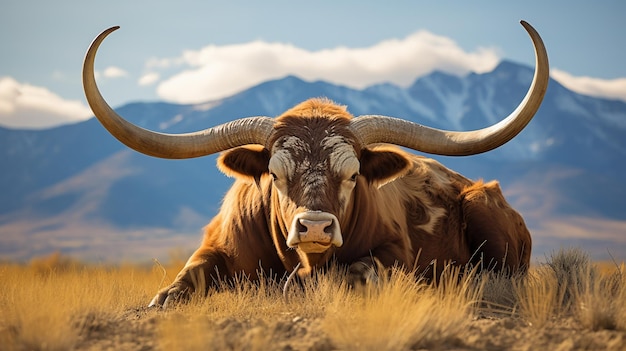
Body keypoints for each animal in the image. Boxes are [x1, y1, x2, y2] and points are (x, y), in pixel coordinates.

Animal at [80, 21, 544, 308]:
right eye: (275, 174)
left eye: (354, 175)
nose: (316, 228)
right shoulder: (215, 246)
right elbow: (178, 287)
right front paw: (161, 300)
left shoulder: (396, 253)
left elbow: (358, 271)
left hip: (484, 209)